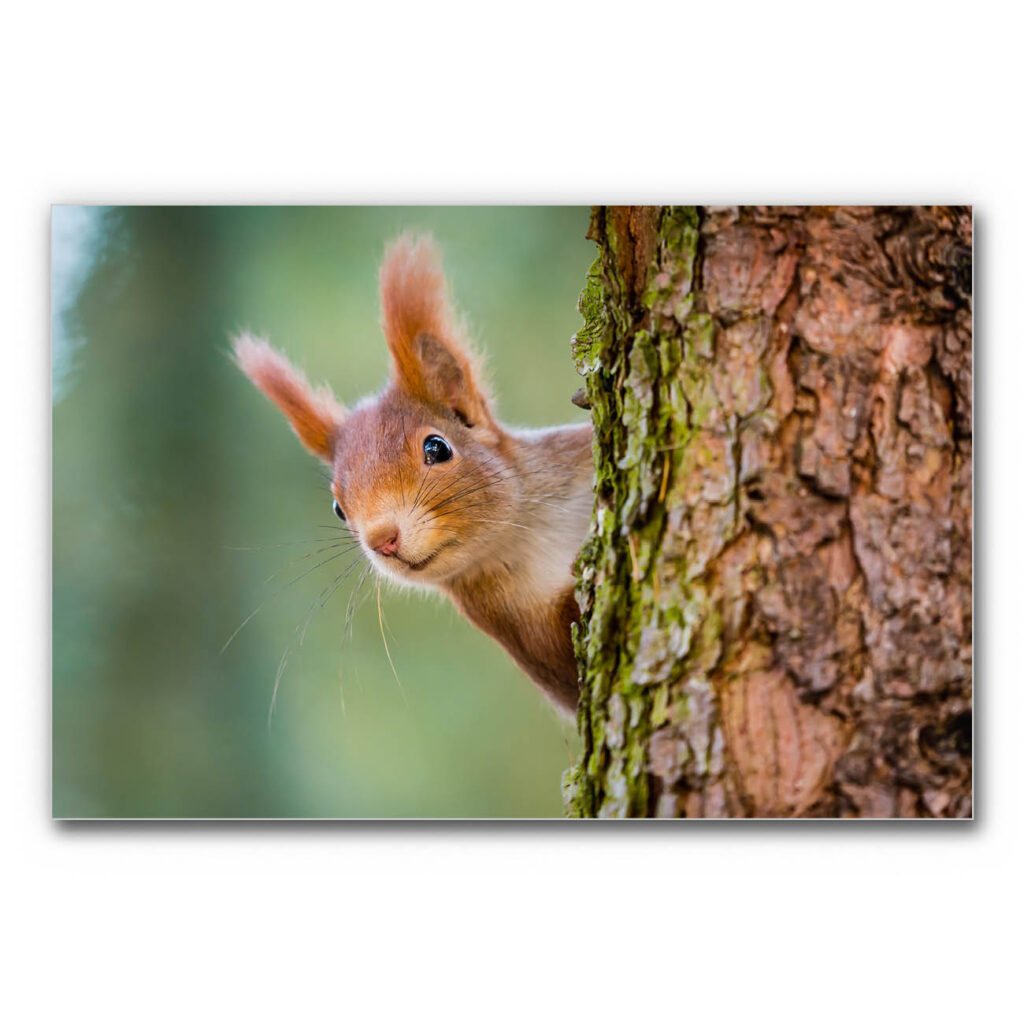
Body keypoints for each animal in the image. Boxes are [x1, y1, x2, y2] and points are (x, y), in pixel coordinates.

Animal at [233, 236, 594, 714]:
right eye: (338, 509)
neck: (529, 533)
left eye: (436, 448)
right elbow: (569, 670)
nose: (382, 539)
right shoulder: (523, 633)